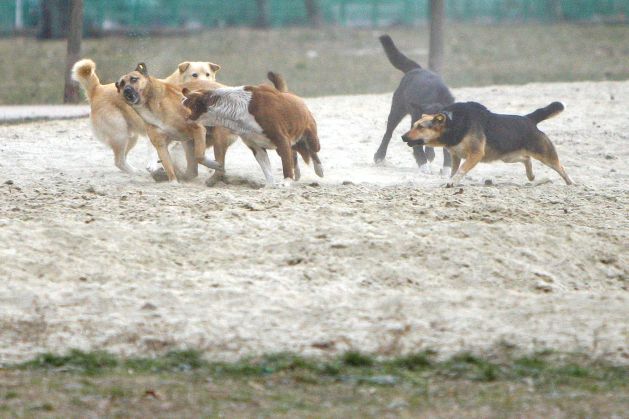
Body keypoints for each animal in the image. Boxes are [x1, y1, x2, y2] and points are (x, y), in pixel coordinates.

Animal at [72, 58, 221, 175]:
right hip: (120, 134)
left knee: (121, 159)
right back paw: (135, 171)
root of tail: (97, 89)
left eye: (208, 74)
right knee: (119, 161)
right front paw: (153, 166)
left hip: (131, 137)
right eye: (194, 75)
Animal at [179, 72, 322, 187]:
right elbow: (267, 168)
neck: (239, 109)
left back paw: (319, 170)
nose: (184, 118)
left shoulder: (281, 139)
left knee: (312, 151)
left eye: (189, 105)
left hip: (310, 138)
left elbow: (286, 165)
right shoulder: (256, 146)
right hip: (289, 144)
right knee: (294, 152)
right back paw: (298, 173)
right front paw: (270, 185)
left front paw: (285, 182)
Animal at [370, 34, 454, 176]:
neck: (436, 100)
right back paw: (379, 156)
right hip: (396, 111)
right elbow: (418, 149)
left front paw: (447, 170)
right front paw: (424, 167)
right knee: (388, 133)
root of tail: (416, 69)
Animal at [402, 101, 576, 187]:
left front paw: (452, 182)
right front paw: (451, 180)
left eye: (420, 127)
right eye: (413, 125)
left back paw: (571, 183)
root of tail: (529, 119)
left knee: (560, 167)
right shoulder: (455, 155)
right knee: (527, 159)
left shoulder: (476, 154)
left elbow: (461, 170)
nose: (402, 137)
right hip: (508, 156)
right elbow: (454, 171)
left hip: (544, 153)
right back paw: (531, 176)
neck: (453, 124)